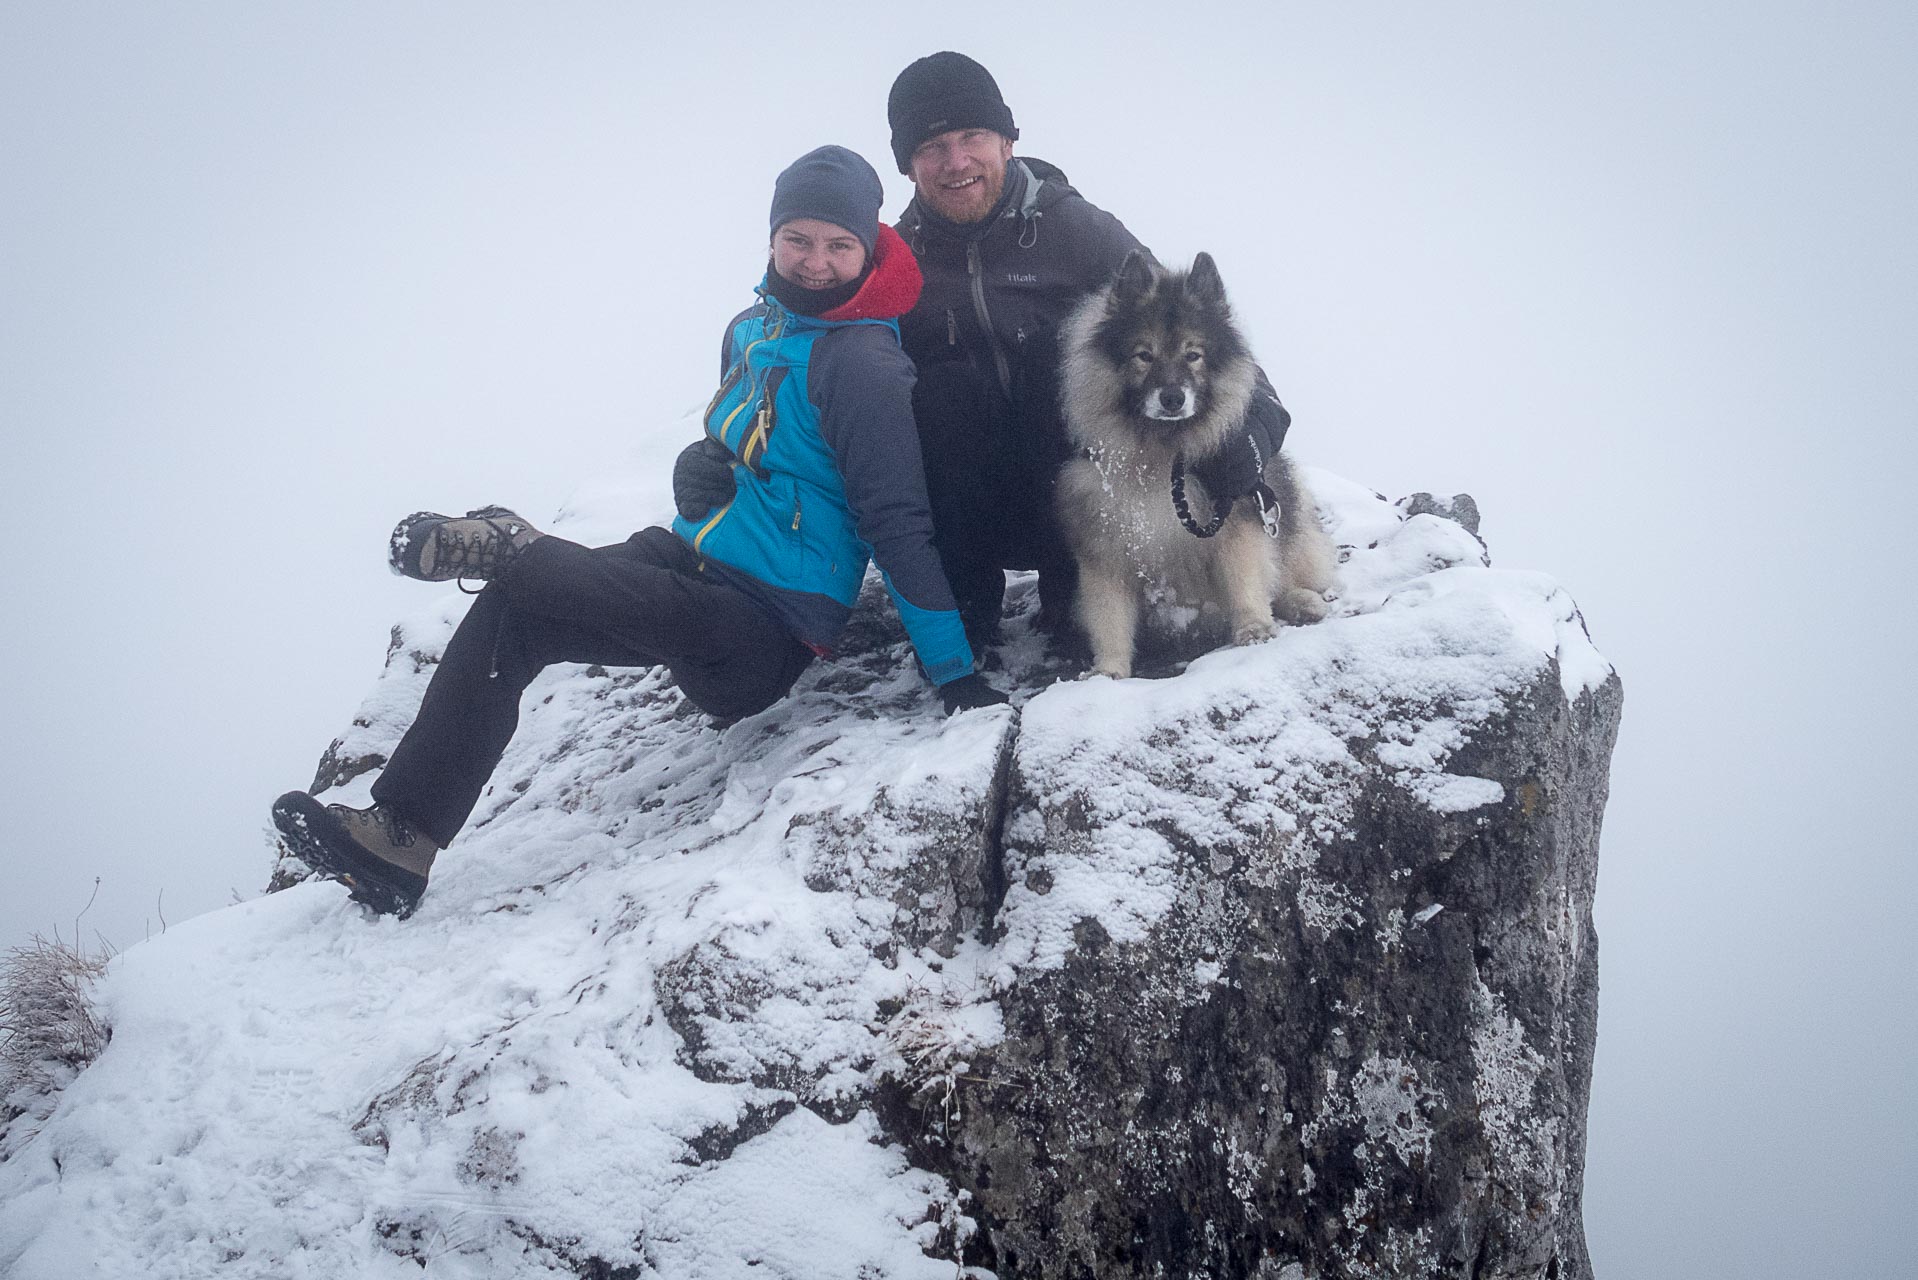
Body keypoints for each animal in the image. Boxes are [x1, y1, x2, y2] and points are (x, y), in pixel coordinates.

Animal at [1051, 249, 1334, 679]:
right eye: (1144, 355)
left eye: (1193, 355)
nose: (1172, 398)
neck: (1160, 455)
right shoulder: (1104, 547)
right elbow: (1109, 617)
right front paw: (1108, 671)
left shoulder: (1235, 518)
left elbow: (1245, 579)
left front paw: (1253, 628)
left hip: (1283, 511)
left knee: (1289, 574)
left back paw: (1303, 602)